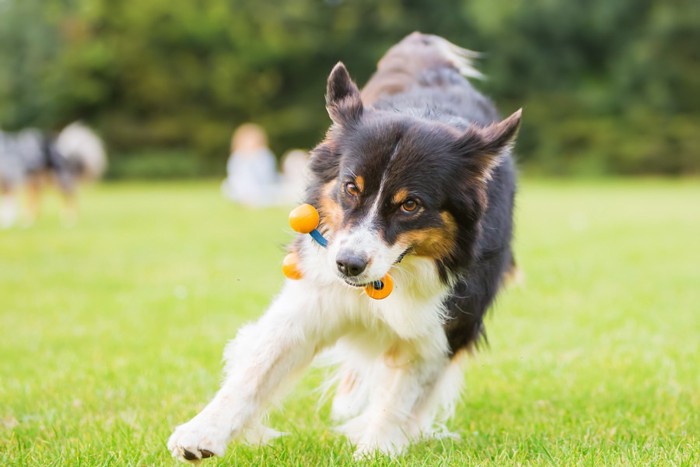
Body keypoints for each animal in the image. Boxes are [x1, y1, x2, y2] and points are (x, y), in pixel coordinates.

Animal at [168, 32, 520, 460]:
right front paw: (202, 431)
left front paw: (377, 450)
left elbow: (400, 394)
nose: (348, 265)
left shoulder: (441, 324)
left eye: (410, 205)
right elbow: (258, 366)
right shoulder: (314, 295)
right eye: (351, 187)